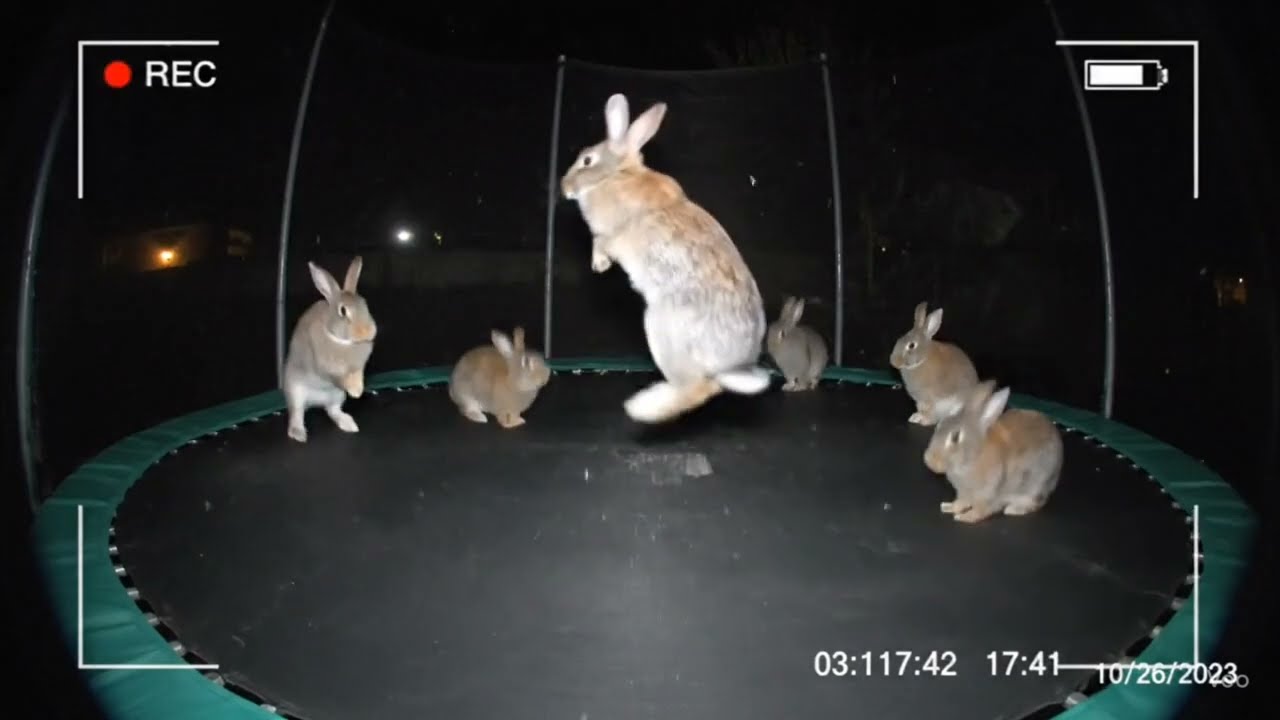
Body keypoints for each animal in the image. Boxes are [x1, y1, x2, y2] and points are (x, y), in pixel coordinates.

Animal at [282, 256, 377, 443]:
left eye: (365, 304)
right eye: (343, 311)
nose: (368, 332)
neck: (342, 341)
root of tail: (315, 403)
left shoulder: (358, 368)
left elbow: (358, 374)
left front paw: (358, 390)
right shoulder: (328, 369)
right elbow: (338, 377)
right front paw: (355, 391)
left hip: (336, 396)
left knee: (333, 411)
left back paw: (349, 424)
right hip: (295, 391)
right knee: (297, 413)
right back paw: (299, 434)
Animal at [560, 92, 770, 423]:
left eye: (587, 160)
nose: (564, 188)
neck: (614, 176)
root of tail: (729, 367)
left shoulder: (611, 232)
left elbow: (600, 241)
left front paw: (600, 264)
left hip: (662, 328)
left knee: (697, 389)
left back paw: (642, 407)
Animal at [923, 379, 1064, 523]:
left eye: (955, 437)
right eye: (939, 425)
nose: (928, 460)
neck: (974, 455)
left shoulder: (988, 496)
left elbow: (981, 511)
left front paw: (964, 517)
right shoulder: (964, 494)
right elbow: (961, 503)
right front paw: (949, 507)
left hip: (1035, 487)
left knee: (1036, 503)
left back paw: (1013, 509)